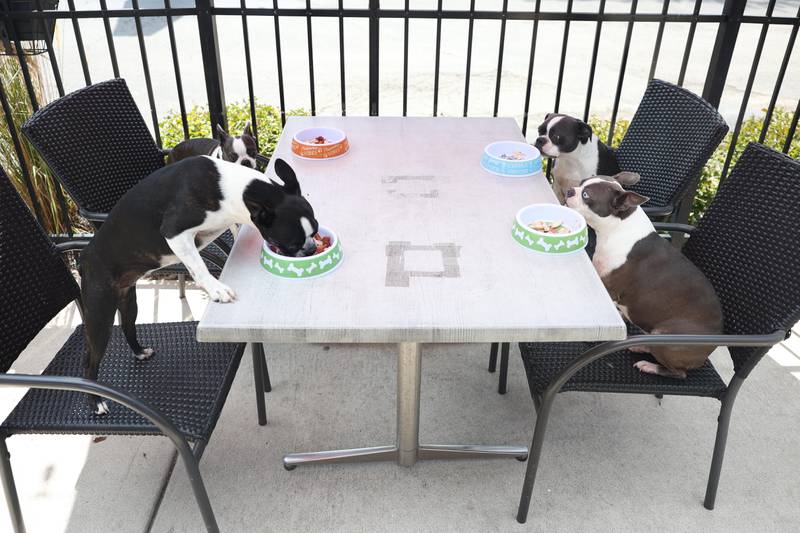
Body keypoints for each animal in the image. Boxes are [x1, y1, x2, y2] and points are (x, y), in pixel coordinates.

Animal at [80, 156, 318, 414]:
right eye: (290, 243)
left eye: (315, 231)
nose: (311, 249)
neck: (230, 188)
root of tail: (84, 258)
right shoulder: (175, 233)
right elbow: (199, 266)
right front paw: (217, 290)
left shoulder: (206, 232)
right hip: (100, 313)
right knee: (90, 360)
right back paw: (95, 401)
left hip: (127, 301)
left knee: (128, 327)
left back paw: (140, 352)